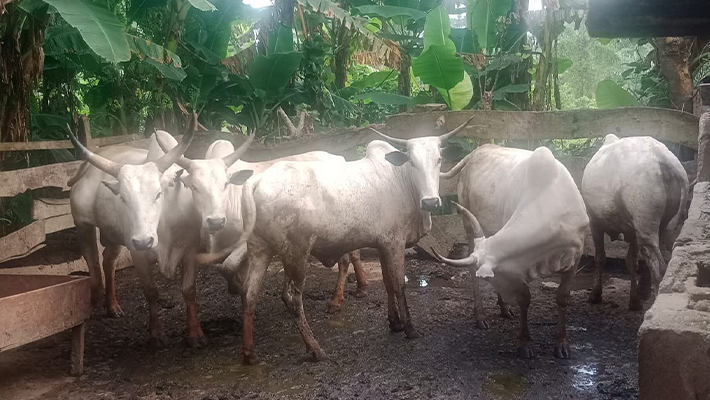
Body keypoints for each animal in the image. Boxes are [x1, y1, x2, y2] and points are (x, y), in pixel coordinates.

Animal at [154, 134, 369, 313]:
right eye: (194, 186)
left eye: (225, 184)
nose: (215, 221)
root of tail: (339, 158)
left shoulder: (247, 241)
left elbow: (227, 267)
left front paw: (236, 288)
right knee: (354, 253)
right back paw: (361, 287)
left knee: (345, 259)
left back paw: (336, 300)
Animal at [207, 117, 475, 365]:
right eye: (412, 161)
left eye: (438, 160)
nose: (431, 202)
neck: (400, 180)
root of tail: (255, 182)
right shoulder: (394, 242)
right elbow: (398, 284)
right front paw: (409, 328)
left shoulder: (382, 244)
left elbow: (387, 283)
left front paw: (394, 323)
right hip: (296, 251)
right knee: (291, 298)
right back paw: (315, 348)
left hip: (259, 248)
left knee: (249, 293)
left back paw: (249, 353)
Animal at [432, 145, 588, 359]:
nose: (506, 296)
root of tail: (477, 151)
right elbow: (524, 299)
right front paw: (525, 343)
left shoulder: (575, 257)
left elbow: (562, 297)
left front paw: (562, 344)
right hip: (469, 227)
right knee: (471, 272)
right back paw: (481, 316)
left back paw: (504, 309)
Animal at [581, 134, 691, 311]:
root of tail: (664, 160)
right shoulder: (632, 231)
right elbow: (631, 262)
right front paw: (634, 300)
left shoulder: (594, 221)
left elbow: (600, 257)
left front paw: (595, 294)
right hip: (660, 225)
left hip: (644, 222)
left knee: (659, 267)